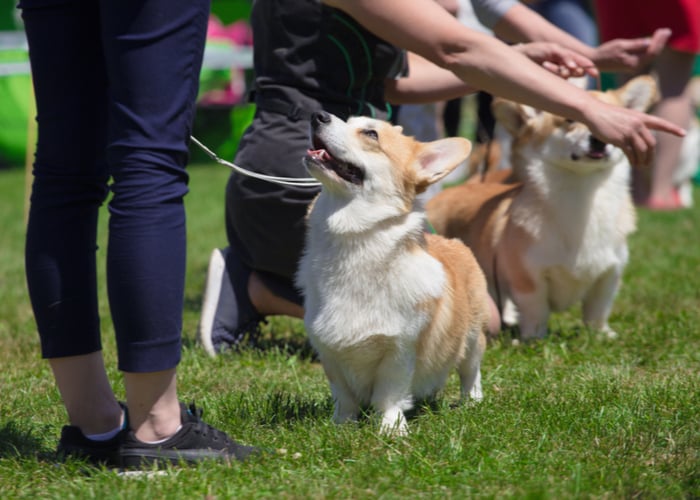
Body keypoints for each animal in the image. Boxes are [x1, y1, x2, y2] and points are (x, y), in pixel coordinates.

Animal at [298, 110, 490, 434]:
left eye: (371, 134)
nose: (318, 115)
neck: (354, 244)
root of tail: (452, 241)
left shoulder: (399, 351)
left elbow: (389, 394)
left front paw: (391, 429)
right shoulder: (328, 350)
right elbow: (343, 395)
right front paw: (341, 425)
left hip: (473, 337)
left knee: (470, 371)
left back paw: (472, 402)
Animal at [424, 75, 660, 340]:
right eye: (569, 119)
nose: (599, 139)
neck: (581, 192)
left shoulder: (609, 273)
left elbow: (598, 309)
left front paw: (601, 334)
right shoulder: (528, 277)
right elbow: (536, 310)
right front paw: (533, 338)